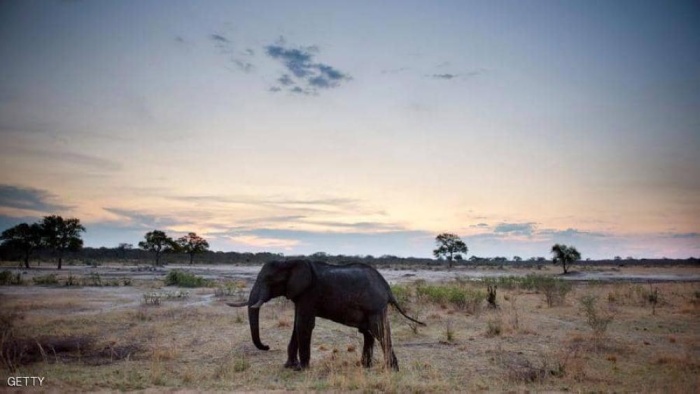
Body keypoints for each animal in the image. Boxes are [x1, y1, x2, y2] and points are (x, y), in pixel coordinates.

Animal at [230, 260, 424, 370]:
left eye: (268, 280)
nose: (267, 346)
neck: (290, 261)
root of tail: (388, 289)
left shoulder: (310, 293)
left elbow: (304, 325)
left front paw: (301, 369)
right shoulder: (300, 295)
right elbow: (297, 325)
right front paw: (289, 367)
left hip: (375, 307)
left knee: (380, 332)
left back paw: (392, 370)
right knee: (369, 333)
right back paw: (365, 367)